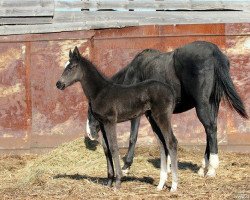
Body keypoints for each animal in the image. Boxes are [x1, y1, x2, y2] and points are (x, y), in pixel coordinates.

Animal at [56, 47, 179, 191]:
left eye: (71, 67)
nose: (59, 84)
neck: (100, 92)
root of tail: (170, 90)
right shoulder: (102, 124)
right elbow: (106, 149)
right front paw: (109, 181)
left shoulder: (110, 122)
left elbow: (114, 147)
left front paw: (118, 181)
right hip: (152, 118)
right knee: (162, 144)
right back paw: (160, 185)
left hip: (162, 116)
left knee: (171, 142)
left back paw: (174, 186)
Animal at [86, 40, 248, 178]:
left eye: (90, 109)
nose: (89, 134)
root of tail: (214, 52)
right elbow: (164, 137)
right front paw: (169, 165)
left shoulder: (138, 113)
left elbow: (133, 137)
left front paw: (126, 166)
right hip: (213, 104)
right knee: (211, 130)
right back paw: (203, 168)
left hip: (202, 105)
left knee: (210, 128)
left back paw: (212, 169)